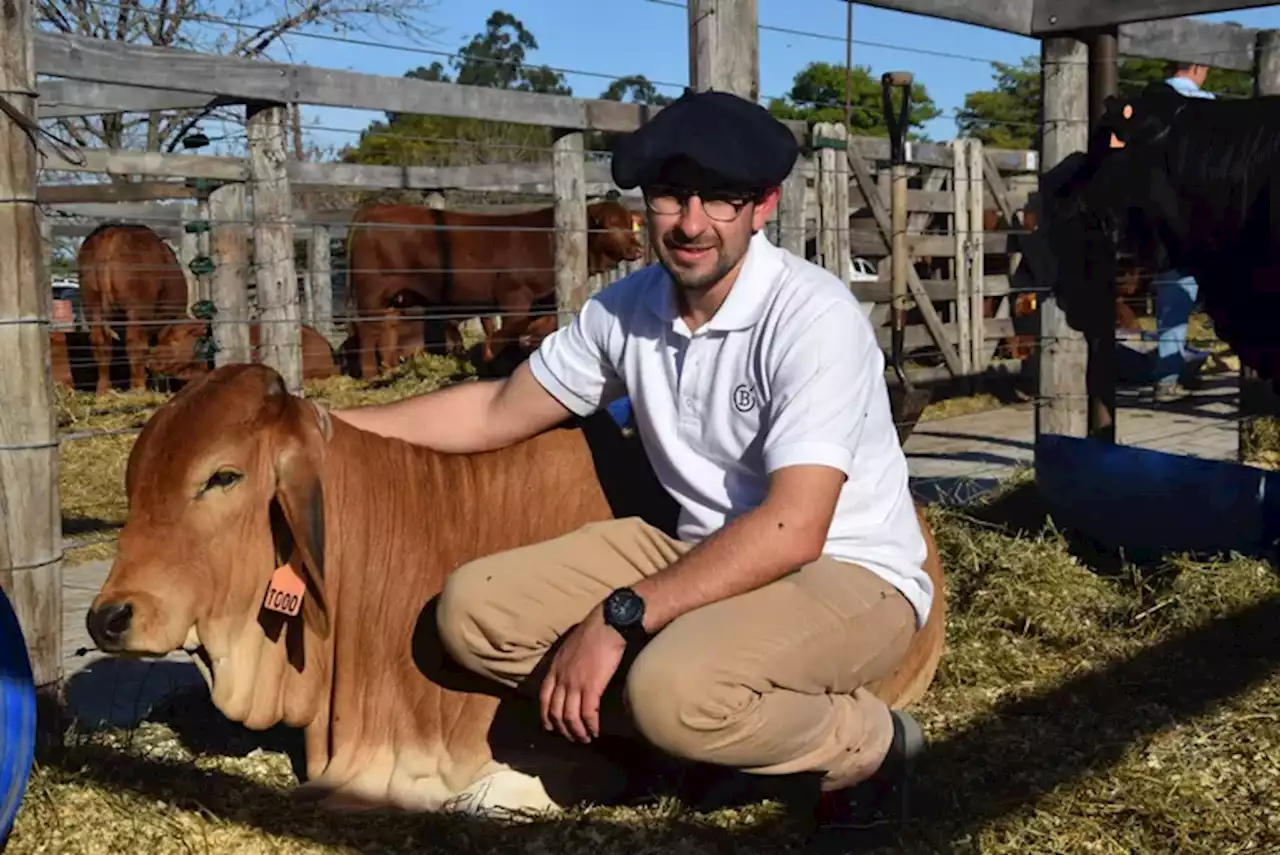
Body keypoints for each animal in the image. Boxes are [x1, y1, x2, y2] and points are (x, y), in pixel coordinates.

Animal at [79, 220, 189, 394]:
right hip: (137, 309)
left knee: (100, 342)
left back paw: (103, 391)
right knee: (134, 343)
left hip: (91, 304)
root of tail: (112, 231)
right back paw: (138, 388)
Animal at [345, 202, 645, 378]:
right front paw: (494, 355)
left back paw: (390, 371)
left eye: (630, 223)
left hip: (394, 297)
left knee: (388, 328)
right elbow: (512, 327)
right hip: (372, 291)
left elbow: (537, 325)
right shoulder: (515, 294)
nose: (638, 248)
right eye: (610, 225)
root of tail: (375, 209)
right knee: (368, 330)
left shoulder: (544, 299)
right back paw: (372, 375)